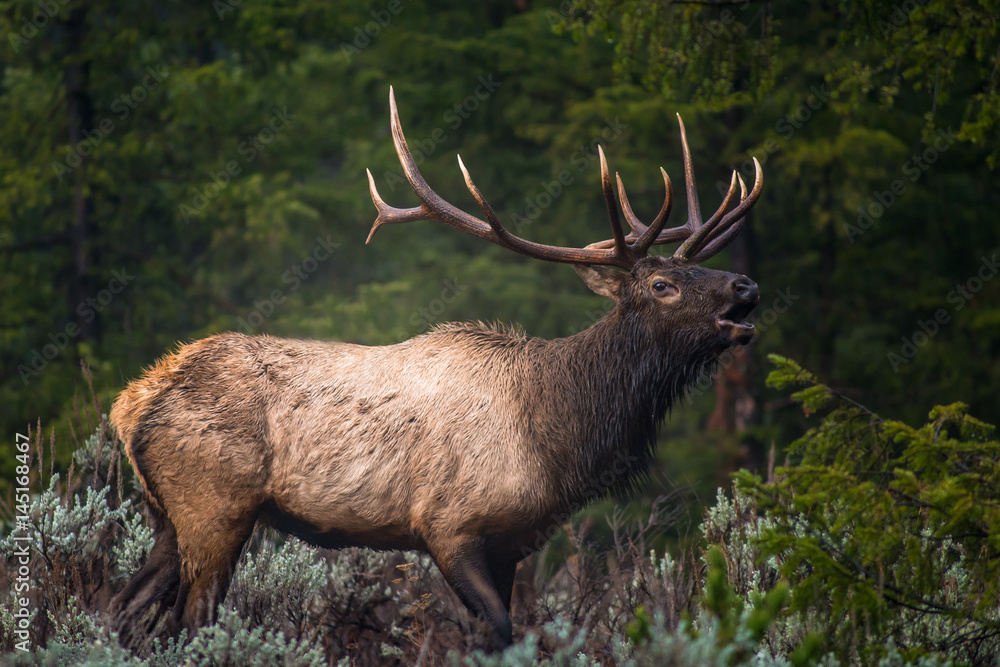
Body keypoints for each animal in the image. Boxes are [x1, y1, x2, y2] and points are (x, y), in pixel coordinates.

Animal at [109, 87, 763, 651]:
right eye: (662, 285)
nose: (746, 284)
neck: (556, 435)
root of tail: (131, 403)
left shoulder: (512, 543)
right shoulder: (449, 524)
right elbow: (498, 630)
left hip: (167, 515)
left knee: (123, 607)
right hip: (213, 505)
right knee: (193, 618)